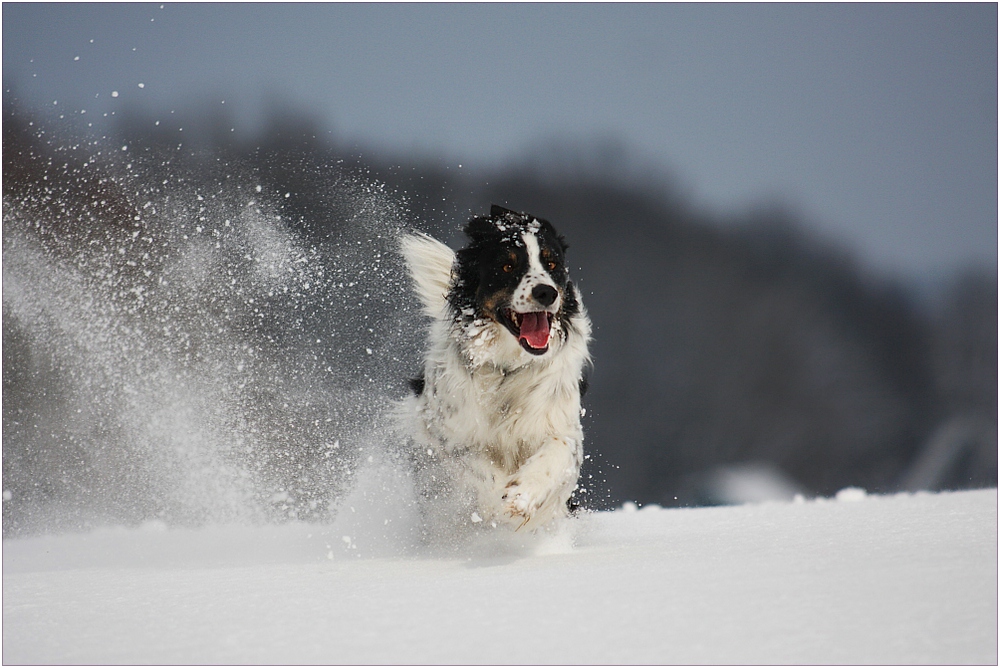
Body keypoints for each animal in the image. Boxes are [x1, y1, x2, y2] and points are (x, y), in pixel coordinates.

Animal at [394, 206, 588, 536]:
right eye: (507, 266)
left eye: (552, 263)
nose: (546, 292)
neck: (507, 368)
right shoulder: (447, 435)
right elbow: (475, 469)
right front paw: (494, 502)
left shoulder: (561, 425)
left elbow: (558, 450)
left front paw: (521, 497)